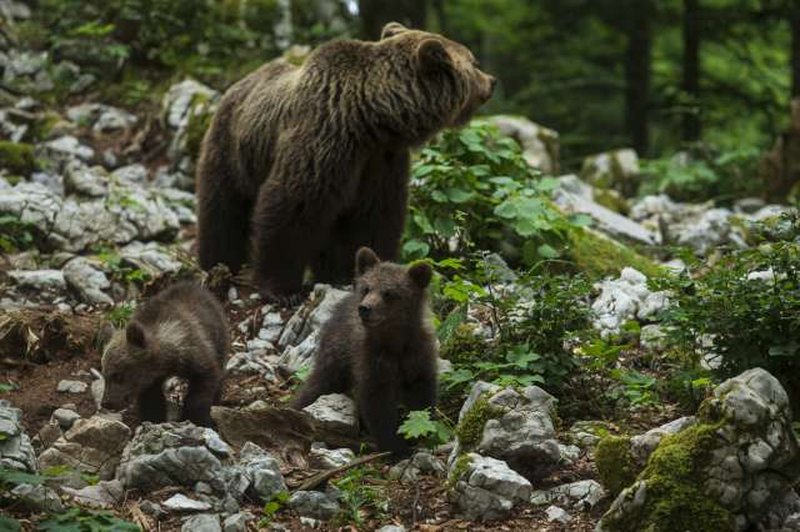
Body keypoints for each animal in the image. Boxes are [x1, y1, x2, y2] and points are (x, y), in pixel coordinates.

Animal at [195, 20, 494, 302]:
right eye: (474, 62)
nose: (491, 81)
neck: (370, 119)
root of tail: (237, 85)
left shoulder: (381, 160)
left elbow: (375, 216)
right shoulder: (323, 139)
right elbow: (292, 207)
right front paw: (283, 290)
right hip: (230, 149)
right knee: (222, 209)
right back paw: (217, 264)